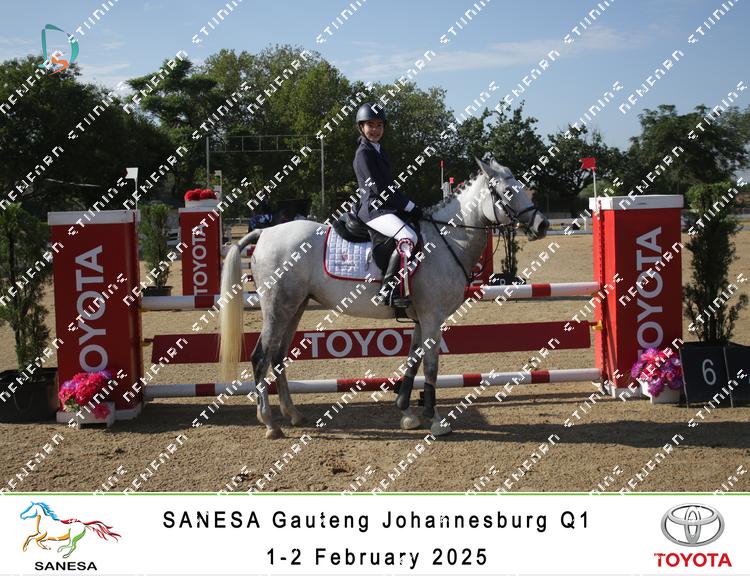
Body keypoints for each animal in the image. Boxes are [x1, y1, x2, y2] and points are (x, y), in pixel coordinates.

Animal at [219, 156, 549, 438]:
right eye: (507, 191)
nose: (542, 224)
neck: (446, 239)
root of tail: (265, 232)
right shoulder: (433, 317)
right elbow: (431, 365)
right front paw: (436, 420)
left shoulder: (421, 318)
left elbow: (414, 360)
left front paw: (407, 412)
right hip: (278, 307)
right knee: (261, 357)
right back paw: (270, 423)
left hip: (295, 307)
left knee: (278, 356)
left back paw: (293, 414)